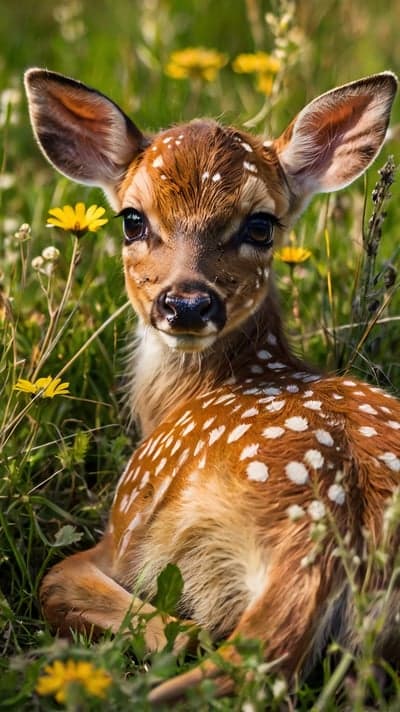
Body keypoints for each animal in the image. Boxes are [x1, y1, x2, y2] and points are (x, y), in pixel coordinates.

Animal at [24, 68, 400, 704]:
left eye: (260, 224)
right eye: (132, 219)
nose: (187, 303)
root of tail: (324, 539)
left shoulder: (125, 522)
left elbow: (56, 580)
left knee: (187, 634)